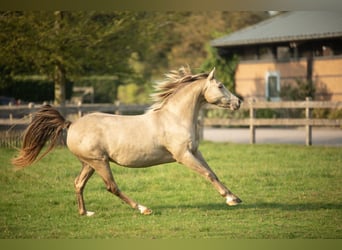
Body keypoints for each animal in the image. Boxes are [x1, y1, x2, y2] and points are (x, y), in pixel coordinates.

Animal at [12, 67, 242, 216]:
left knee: (78, 183)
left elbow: (212, 173)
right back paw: (143, 209)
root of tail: (71, 124)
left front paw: (235, 197)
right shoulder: (183, 156)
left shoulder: (194, 152)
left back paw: (85, 213)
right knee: (111, 187)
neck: (175, 118)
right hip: (99, 162)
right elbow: (207, 174)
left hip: (89, 163)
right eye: (220, 85)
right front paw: (231, 199)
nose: (238, 102)